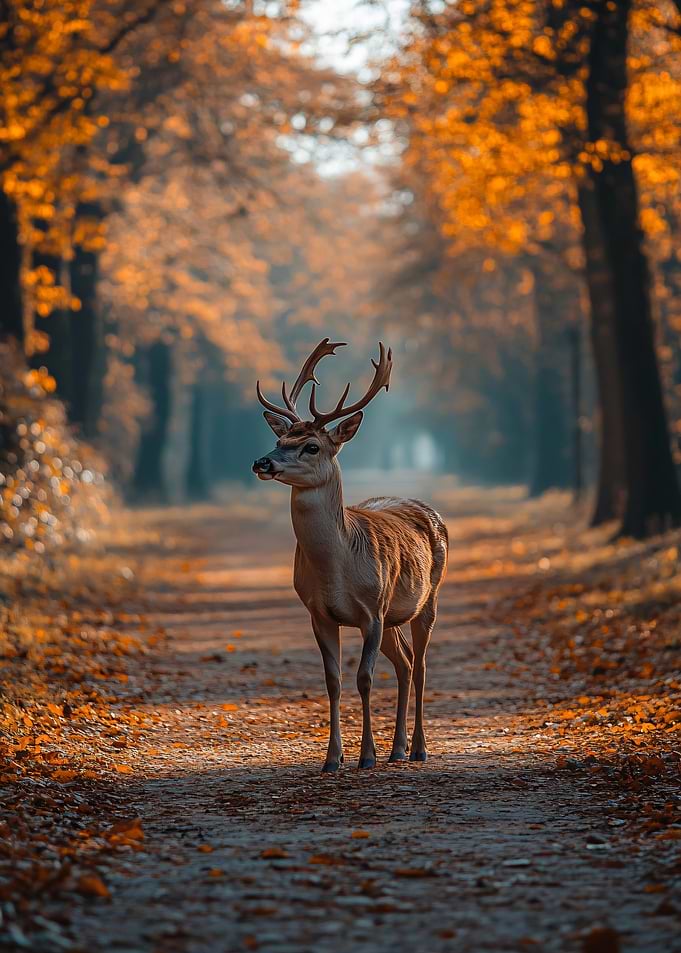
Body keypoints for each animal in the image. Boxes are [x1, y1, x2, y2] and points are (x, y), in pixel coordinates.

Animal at [252, 339, 448, 772]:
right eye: (279, 441)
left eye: (311, 446)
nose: (262, 461)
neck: (336, 568)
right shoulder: (319, 612)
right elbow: (334, 681)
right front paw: (333, 758)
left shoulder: (372, 611)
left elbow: (365, 678)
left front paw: (367, 756)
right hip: (393, 616)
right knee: (405, 662)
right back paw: (398, 749)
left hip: (427, 599)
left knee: (421, 665)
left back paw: (418, 748)